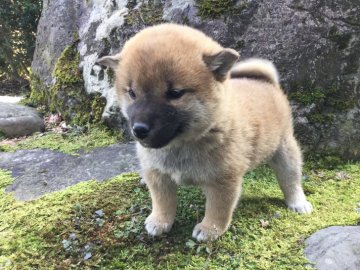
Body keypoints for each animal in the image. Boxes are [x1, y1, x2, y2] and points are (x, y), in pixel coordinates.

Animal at [98, 23, 312, 242]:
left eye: (175, 93)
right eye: (132, 93)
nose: (139, 129)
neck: (183, 145)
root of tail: (266, 82)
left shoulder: (223, 180)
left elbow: (218, 209)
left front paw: (210, 229)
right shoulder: (158, 174)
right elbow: (162, 202)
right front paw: (159, 221)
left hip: (284, 150)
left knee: (291, 179)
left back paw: (298, 202)